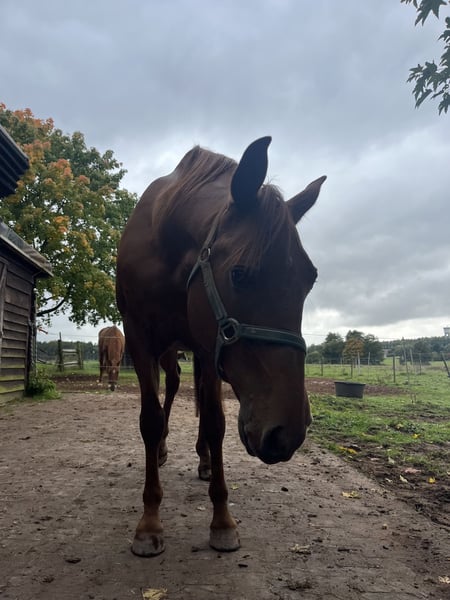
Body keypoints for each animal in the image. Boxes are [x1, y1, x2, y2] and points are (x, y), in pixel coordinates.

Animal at [116, 137, 326, 556]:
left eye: (309, 279)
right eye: (239, 274)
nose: (288, 432)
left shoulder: (207, 344)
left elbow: (215, 423)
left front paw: (222, 520)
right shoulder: (140, 338)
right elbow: (150, 420)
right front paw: (149, 523)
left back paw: (204, 461)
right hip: (168, 351)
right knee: (171, 387)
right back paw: (162, 451)